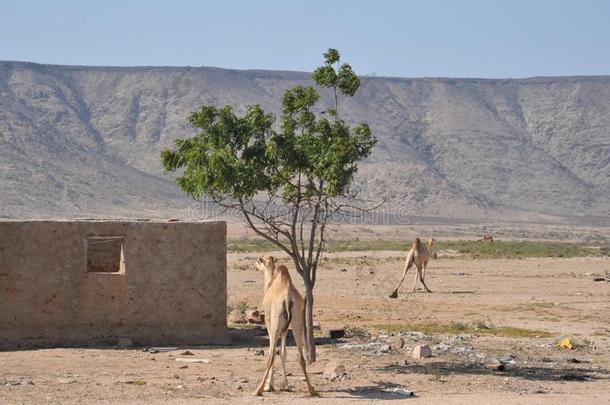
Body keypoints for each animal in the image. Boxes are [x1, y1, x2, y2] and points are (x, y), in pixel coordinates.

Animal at [253, 256, 318, 394]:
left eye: (258, 261)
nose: (254, 266)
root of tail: (288, 298)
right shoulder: (285, 329)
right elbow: (283, 352)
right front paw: (286, 385)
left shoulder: (269, 322)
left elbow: (274, 351)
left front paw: (270, 386)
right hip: (297, 323)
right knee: (301, 357)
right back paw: (311, 390)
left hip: (275, 324)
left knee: (271, 355)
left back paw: (258, 390)